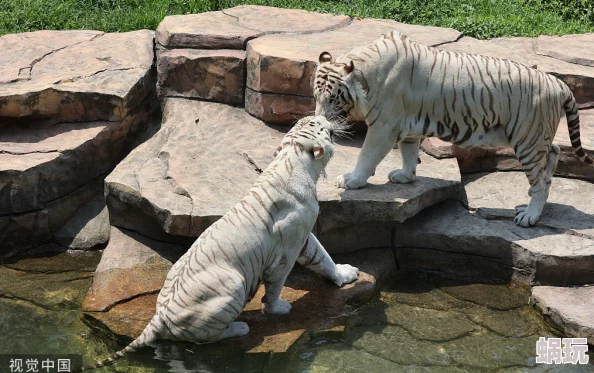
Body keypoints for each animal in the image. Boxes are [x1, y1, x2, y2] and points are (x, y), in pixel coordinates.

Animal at [71, 115, 354, 370]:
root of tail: (158, 318)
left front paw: (345, 274)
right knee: (204, 339)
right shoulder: (289, 247)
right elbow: (278, 283)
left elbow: (323, 257)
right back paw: (240, 327)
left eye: (308, 120)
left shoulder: (302, 237)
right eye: (317, 123)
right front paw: (278, 308)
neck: (292, 158)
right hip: (233, 283)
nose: (324, 116)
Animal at [312, 30, 588, 227]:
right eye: (316, 97)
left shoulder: (384, 126)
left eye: (333, 100)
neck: (365, 75)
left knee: (540, 181)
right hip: (536, 137)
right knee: (552, 155)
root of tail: (559, 84)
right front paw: (405, 176)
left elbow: (367, 155)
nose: (322, 123)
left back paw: (529, 216)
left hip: (528, 139)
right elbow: (409, 153)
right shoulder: (408, 124)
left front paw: (352, 180)